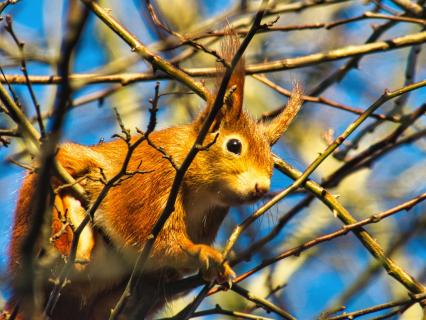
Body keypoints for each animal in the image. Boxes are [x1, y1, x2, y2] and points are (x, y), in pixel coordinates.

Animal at [7, 30, 302, 320]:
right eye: (234, 145)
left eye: (273, 162)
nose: (262, 187)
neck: (203, 194)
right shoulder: (153, 182)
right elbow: (157, 241)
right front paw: (200, 252)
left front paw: (216, 270)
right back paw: (73, 226)